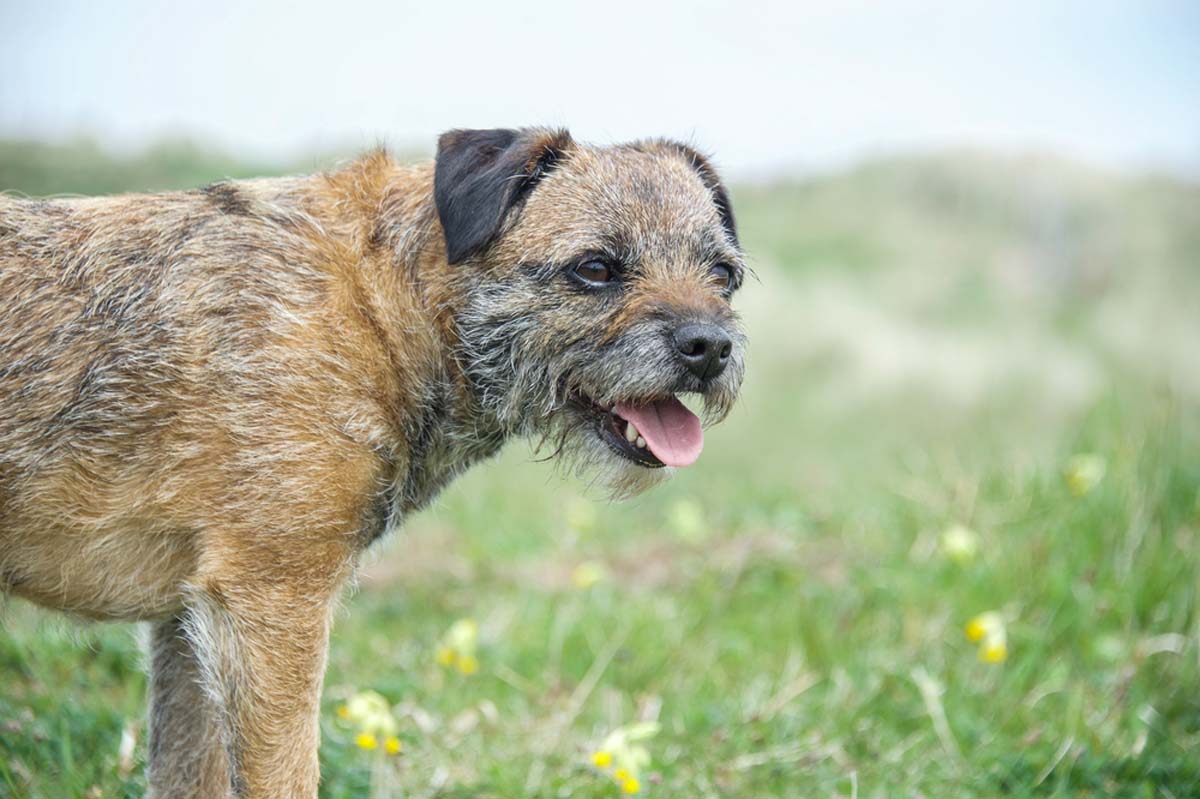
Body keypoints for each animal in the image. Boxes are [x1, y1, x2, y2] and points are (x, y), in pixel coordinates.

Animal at [0, 127, 744, 791]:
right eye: (594, 268)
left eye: (723, 274)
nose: (710, 346)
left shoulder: (188, 622)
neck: (388, 307)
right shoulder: (270, 603)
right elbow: (285, 776)